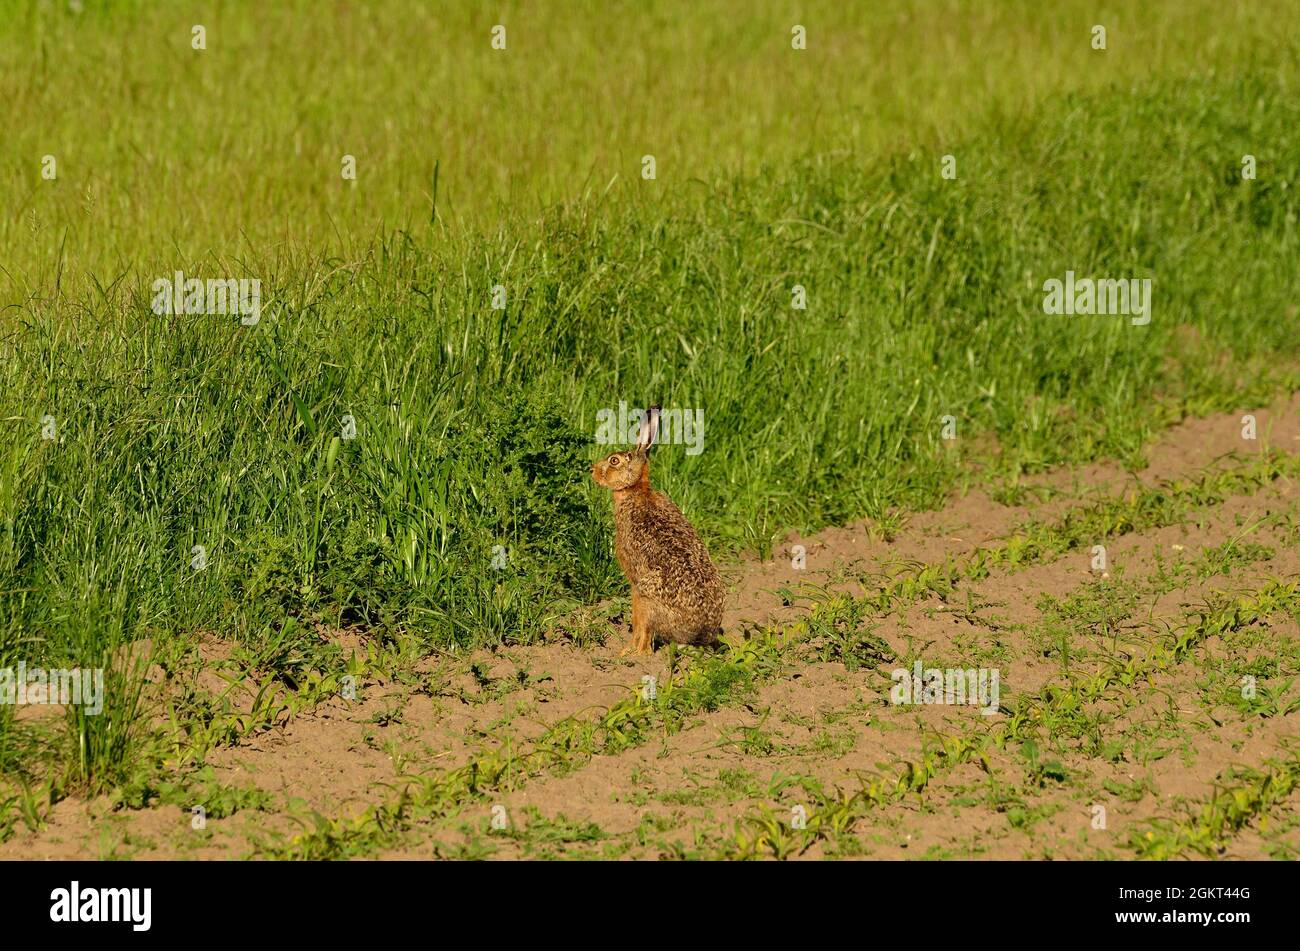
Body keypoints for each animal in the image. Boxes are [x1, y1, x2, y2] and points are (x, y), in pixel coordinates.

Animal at [591, 405, 724, 655]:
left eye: (614, 460)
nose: (591, 470)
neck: (634, 489)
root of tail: (700, 634)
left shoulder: (634, 580)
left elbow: (637, 624)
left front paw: (626, 653)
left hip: (647, 596)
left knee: (646, 635)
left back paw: (631, 655)